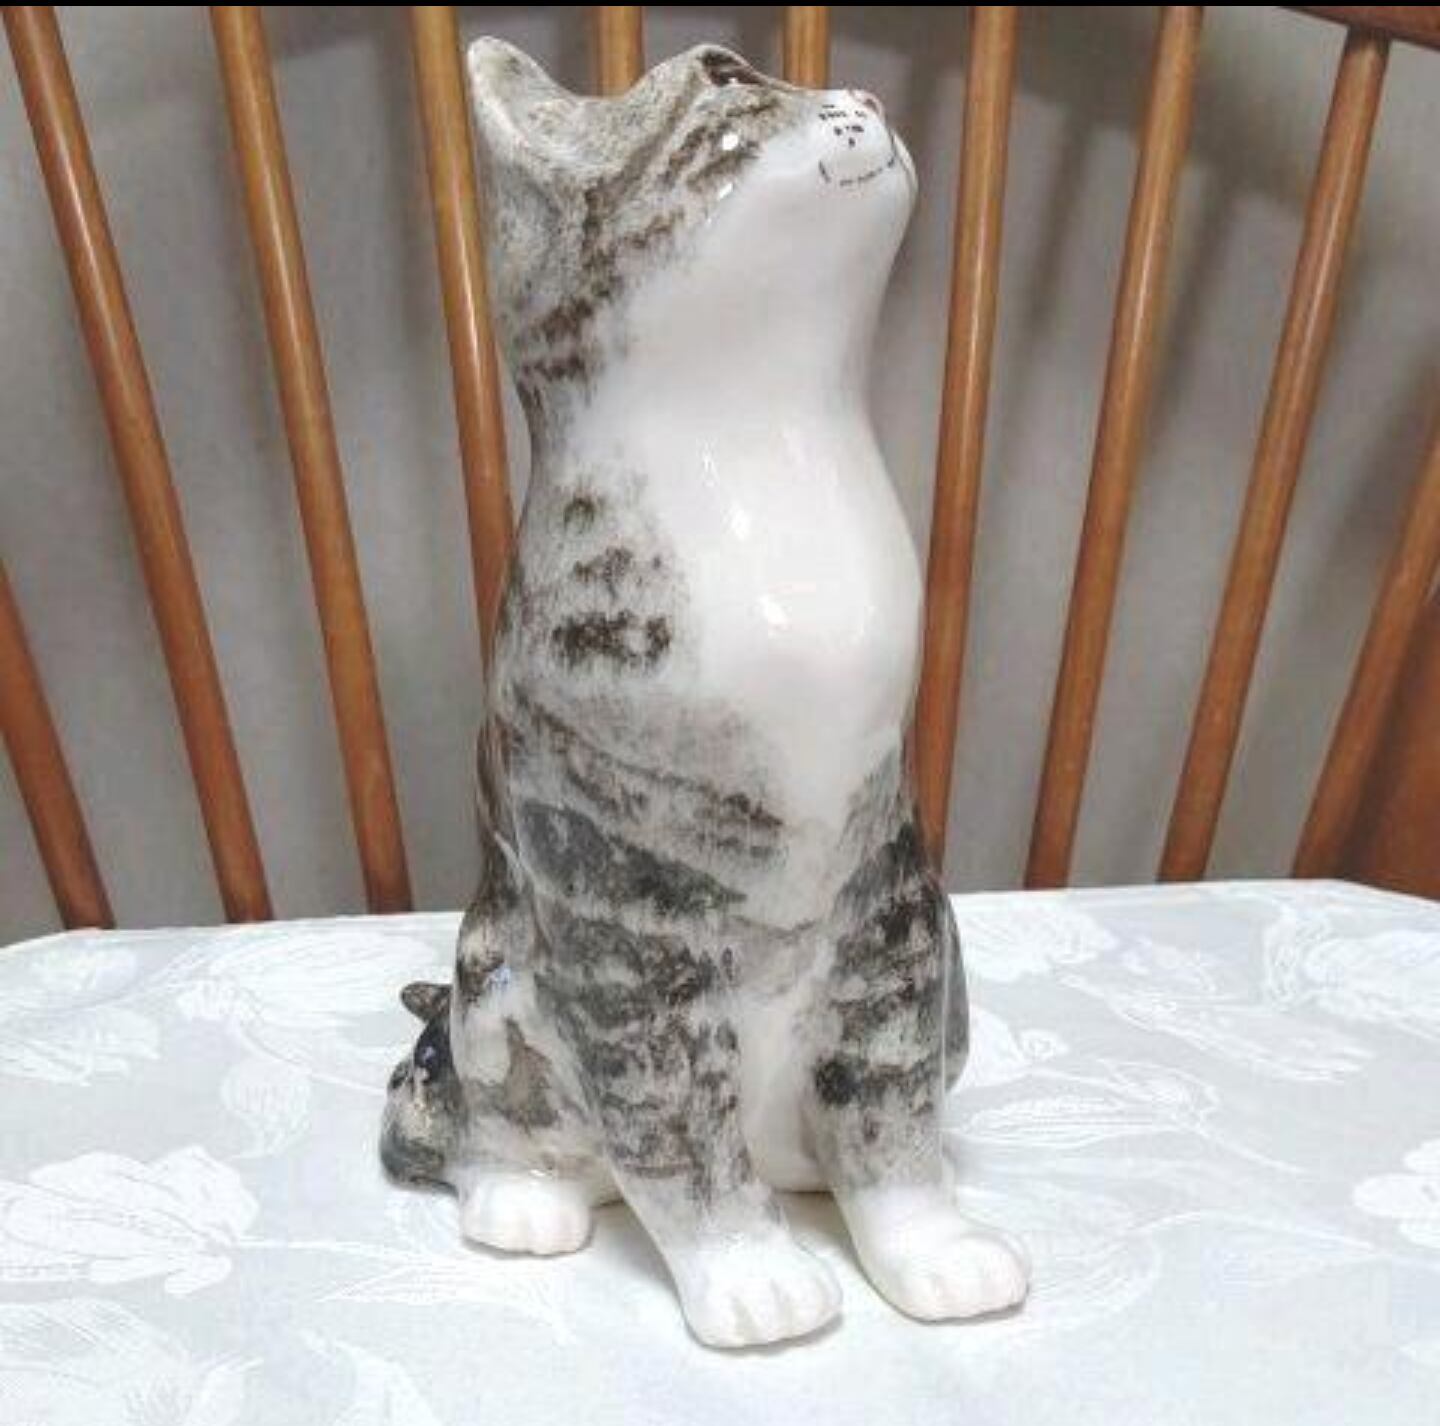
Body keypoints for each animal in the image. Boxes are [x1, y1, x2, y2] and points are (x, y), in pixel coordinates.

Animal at [382, 38, 1028, 1349]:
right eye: (727, 79)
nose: (869, 98)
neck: (772, 451)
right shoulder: (626, 914)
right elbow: (674, 1125)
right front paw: (749, 1274)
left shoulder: (895, 901)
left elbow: (891, 1115)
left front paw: (933, 1252)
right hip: (489, 978)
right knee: (474, 1125)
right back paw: (527, 1202)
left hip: (954, 964)